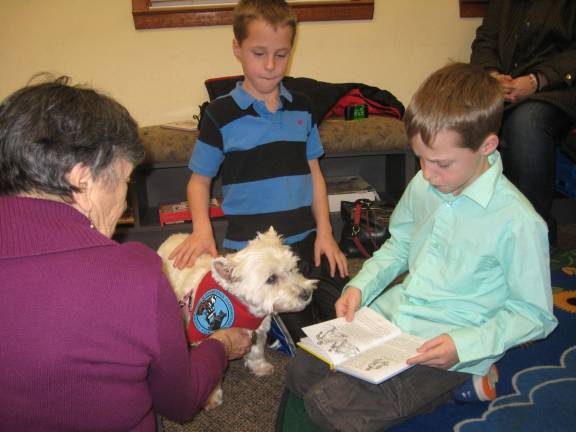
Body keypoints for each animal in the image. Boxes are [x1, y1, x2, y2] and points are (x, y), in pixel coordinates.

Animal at [156, 226, 316, 408]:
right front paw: (212, 397)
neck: (242, 308)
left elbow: (257, 351)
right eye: (271, 279)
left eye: (291, 269)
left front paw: (260, 367)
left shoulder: (259, 330)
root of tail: (172, 237)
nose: (307, 294)